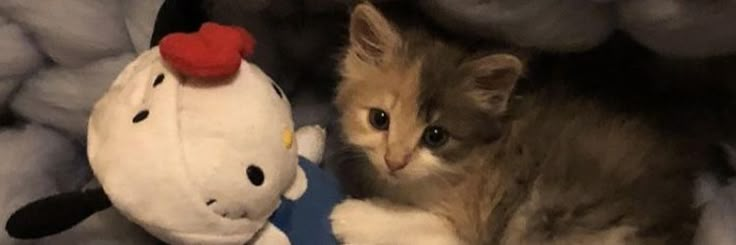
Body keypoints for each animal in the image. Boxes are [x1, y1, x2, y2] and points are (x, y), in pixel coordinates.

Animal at [330, 2, 712, 245]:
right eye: (379, 119)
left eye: (435, 136)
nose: (394, 161)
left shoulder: (472, 224)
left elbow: (423, 224)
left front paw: (353, 217)